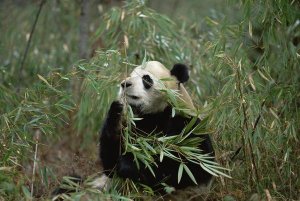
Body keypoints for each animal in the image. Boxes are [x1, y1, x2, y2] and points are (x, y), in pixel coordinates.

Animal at [99, 61, 214, 192]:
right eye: (129, 75)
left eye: (146, 79)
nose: (125, 84)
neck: (154, 114)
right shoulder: (133, 125)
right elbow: (110, 165)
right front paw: (116, 110)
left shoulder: (186, 125)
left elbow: (192, 168)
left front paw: (129, 165)